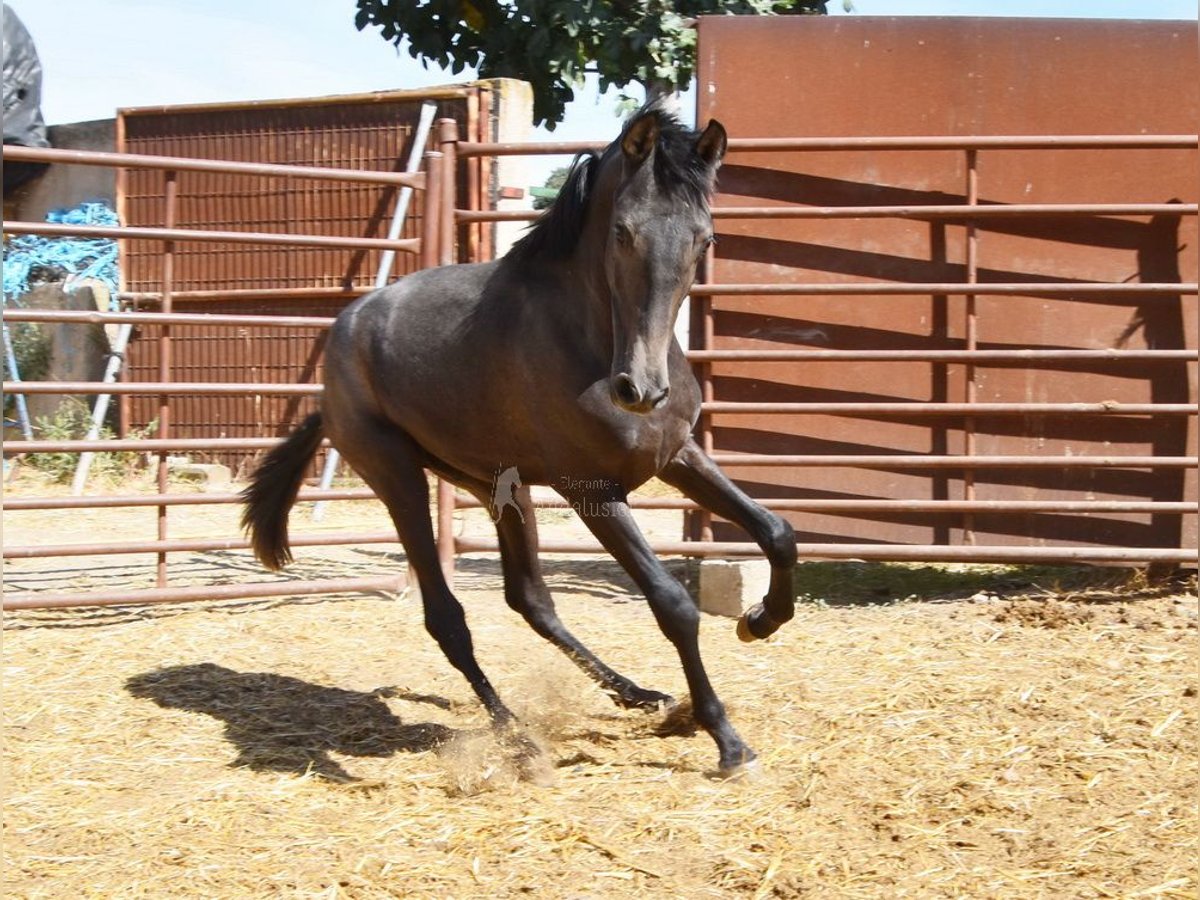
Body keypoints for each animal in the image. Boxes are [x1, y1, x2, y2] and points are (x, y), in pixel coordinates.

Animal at [237, 103, 796, 782]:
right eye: (622, 233)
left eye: (705, 239)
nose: (640, 390)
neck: (587, 342)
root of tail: (339, 341)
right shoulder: (592, 492)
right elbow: (673, 604)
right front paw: (727, 740)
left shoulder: (677, 457)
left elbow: (776, 531)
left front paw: (759, 622)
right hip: (398, 477)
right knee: (447, 617)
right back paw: (519, 739)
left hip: (497, 487)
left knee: (530, 599)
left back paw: (636, 693)